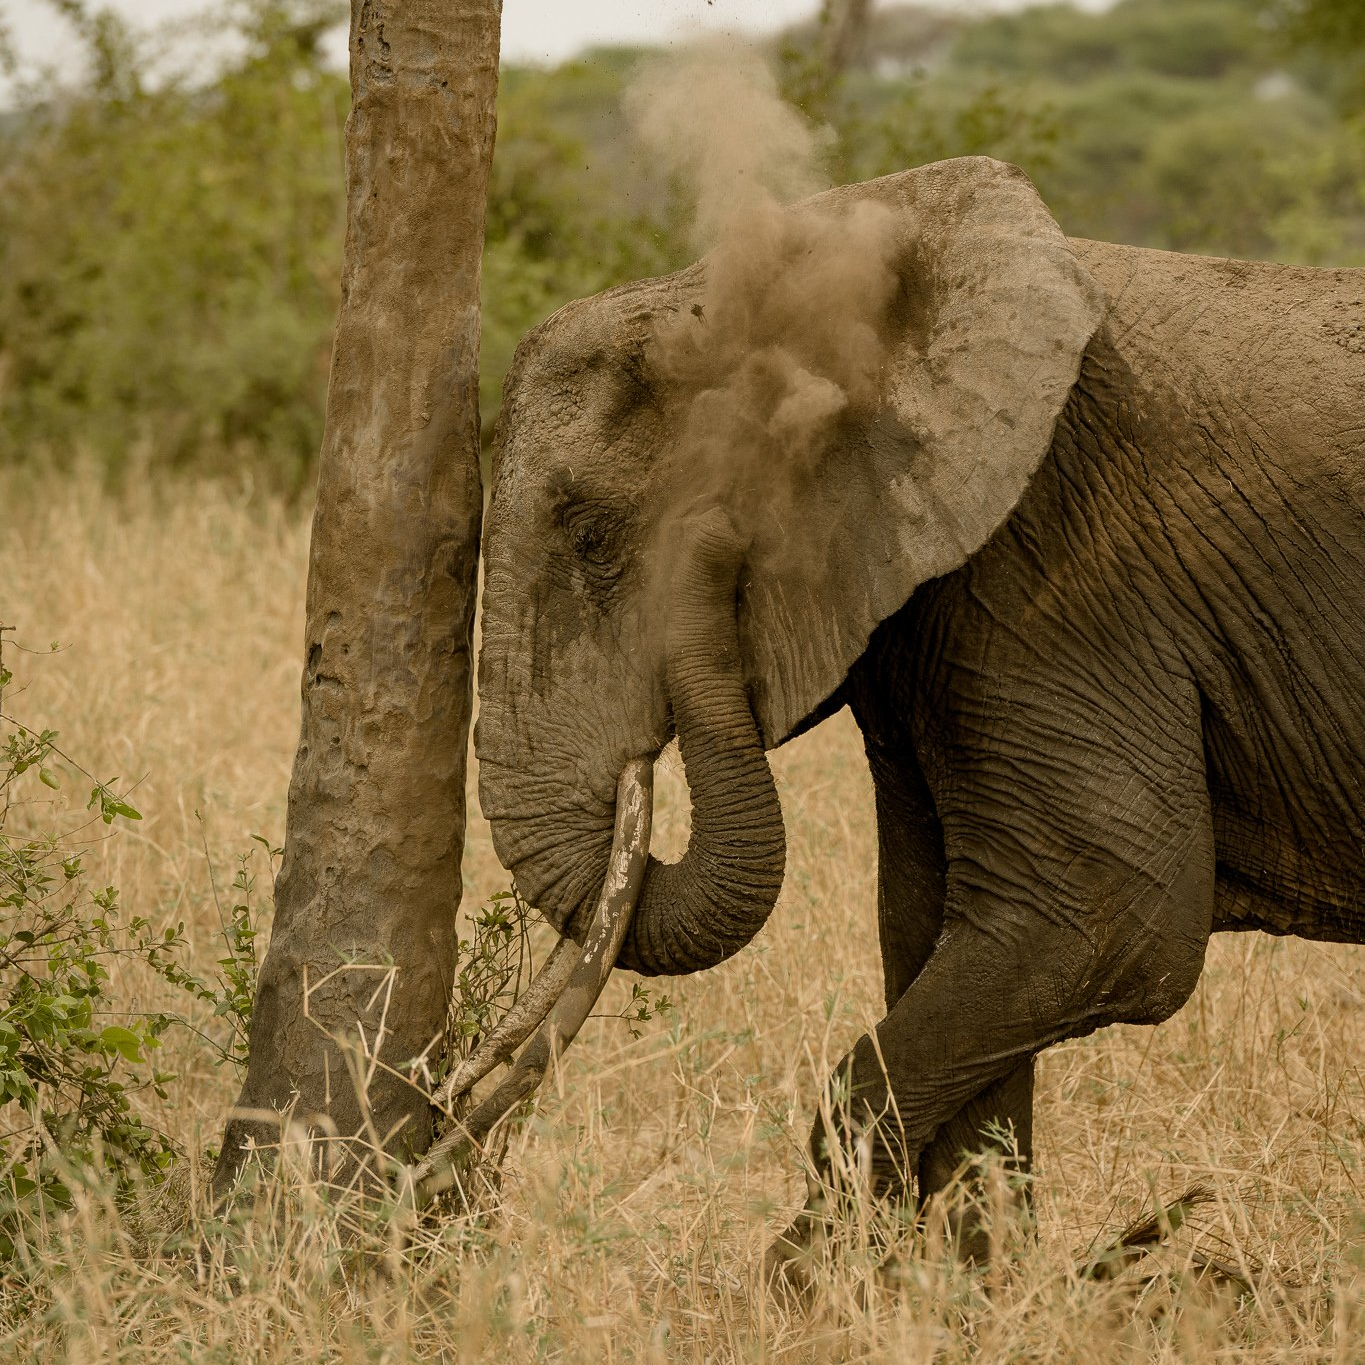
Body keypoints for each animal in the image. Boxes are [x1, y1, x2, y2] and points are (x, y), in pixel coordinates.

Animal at [474, 155, 1365, 1268]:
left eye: (593, 538)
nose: (715, 544)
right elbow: (941, 926)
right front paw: (977, 1285)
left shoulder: (1060, 566)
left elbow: (1102, 924)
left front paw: (802, 1289)